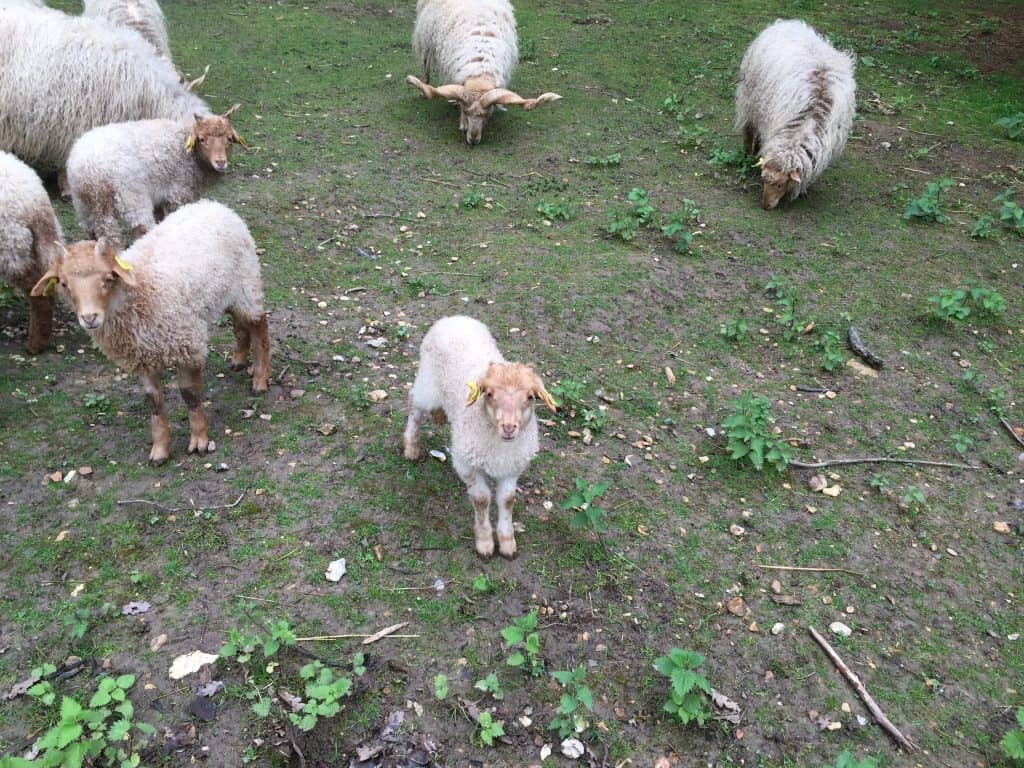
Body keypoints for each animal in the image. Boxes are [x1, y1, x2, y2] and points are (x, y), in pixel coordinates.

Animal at [30, 200, 270, 464]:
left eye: (108, 278)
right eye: (64, 283)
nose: (89, 318)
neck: (141, 291)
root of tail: (213, 205)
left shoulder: (188, 344)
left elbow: (189, 394)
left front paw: (199, 440)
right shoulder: (140, 358)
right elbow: (153, 402)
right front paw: (160, 449)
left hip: (246, 283)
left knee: (259, 325)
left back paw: (260, 377)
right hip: (227, 292)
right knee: (239, 324)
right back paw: (239, 358)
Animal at [67, 106, 247, 244]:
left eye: (229, 139)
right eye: (202, 139)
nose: (221, 162)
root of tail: (89, 168)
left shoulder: (159, 195)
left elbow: (160, 217)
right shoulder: (179, 193)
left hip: (85, 204)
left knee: (94, 231)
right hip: (131, 198)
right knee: (137, 230)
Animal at [403, 316, 556, 558]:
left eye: (530, 397)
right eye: (489, 394)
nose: (509, 427)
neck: (499, 446)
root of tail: (454, 318)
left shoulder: (512, 467)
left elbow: (507, 500)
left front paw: (506, 542)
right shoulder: (467, 464)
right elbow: (482, 499)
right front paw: (485, 542)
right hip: (427, 383)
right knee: (414, 409)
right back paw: (411, 446)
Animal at [405, 0, 561, 145]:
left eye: (487, 115)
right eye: (465, 111)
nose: (473, 139)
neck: (480, 71)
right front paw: (462, 122)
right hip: (426, 34)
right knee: (426, 61)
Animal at [735, 19, 856, 210]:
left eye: (780, 184)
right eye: (764, 181)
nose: (766, 206)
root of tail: (788, 23)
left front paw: (803, 189)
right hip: (750, 100)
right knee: (749, 128)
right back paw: (747, 153)